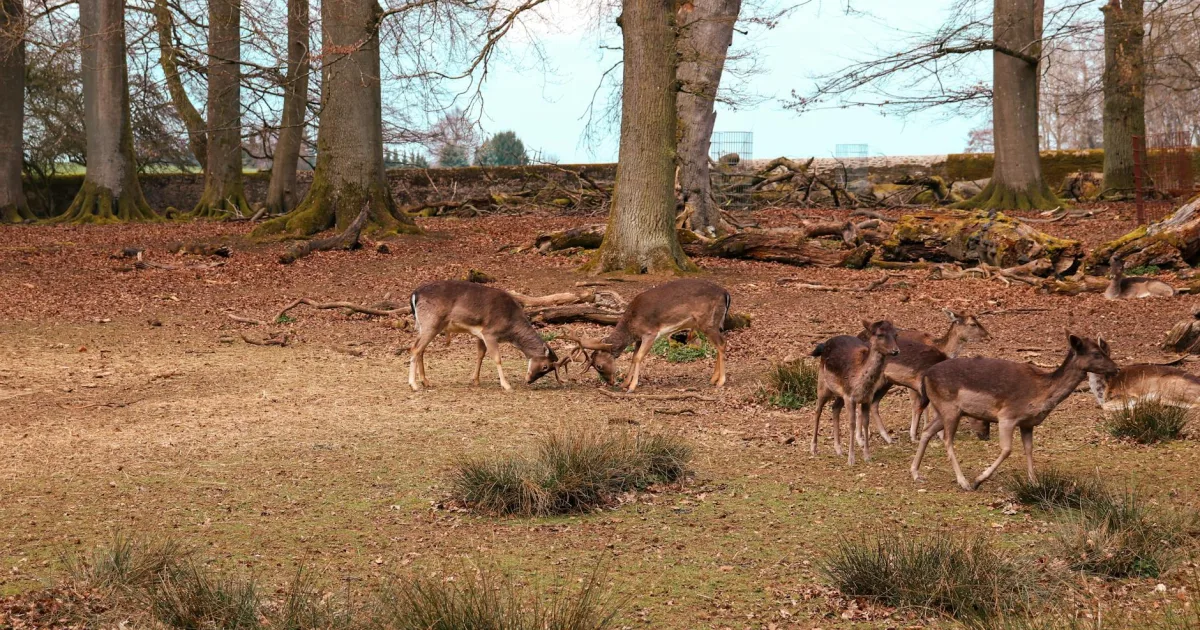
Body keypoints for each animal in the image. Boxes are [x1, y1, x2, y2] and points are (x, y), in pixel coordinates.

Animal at [407, 280, 570, 392]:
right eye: (545, 366)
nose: (529, 380)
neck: (511, 326)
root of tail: (415, 294)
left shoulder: (480, 335)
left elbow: (480, 355)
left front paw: (475, 380)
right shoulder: (490, 332)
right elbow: (497, 358)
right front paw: (506, 385)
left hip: (423, 326)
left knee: (420, 349)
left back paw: (426, 381)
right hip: (431, 323)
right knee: (415, 348)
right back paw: (414, 385)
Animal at [565, 279, 730, 392]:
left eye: (599, 365)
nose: (610, 382)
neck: (631, 325)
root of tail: (726, 293)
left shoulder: (650, 333)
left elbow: (639, 357)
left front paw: (632, 387)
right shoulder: (639, 338)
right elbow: (633, 358)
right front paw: (625, 383)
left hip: (708, 322)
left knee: (722, 344)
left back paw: (721, 381)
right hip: (712, 324)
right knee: (719, 345)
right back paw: (713, 379)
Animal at [810, 320, 901, 466]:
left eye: (895, 334)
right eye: (880, 334)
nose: (895, 350)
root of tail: (824, 345)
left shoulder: (866, 398)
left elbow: (866, 422)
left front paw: (867, 456)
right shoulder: (849, 397)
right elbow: (852, 424)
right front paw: (851, 459)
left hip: (840, 392)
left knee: (835, 408)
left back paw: (838, 449)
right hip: (823, 384)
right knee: (818, 410)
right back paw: (813, 448)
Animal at [857, 311, 990, 444]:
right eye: (972, 324)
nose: (989, 336)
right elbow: (919, 405)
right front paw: (923, 434)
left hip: (886, 381)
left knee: (873, 404)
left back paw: (886, 438)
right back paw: (862, 438)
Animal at [911, 333, 1119, 491]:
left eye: (1105, 350)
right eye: (1096, 353)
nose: (1116, 368)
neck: (1041, 393)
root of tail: (926, 375)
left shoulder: (1027, 424)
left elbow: (1029, 449)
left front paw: (1035, 483)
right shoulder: (1007, 416)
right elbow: (1007, 449)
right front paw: (979, 479)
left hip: (944, 410)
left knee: (927, 431)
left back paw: (916, 473)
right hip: (949, 408)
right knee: (947, 439)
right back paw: (964, 482)